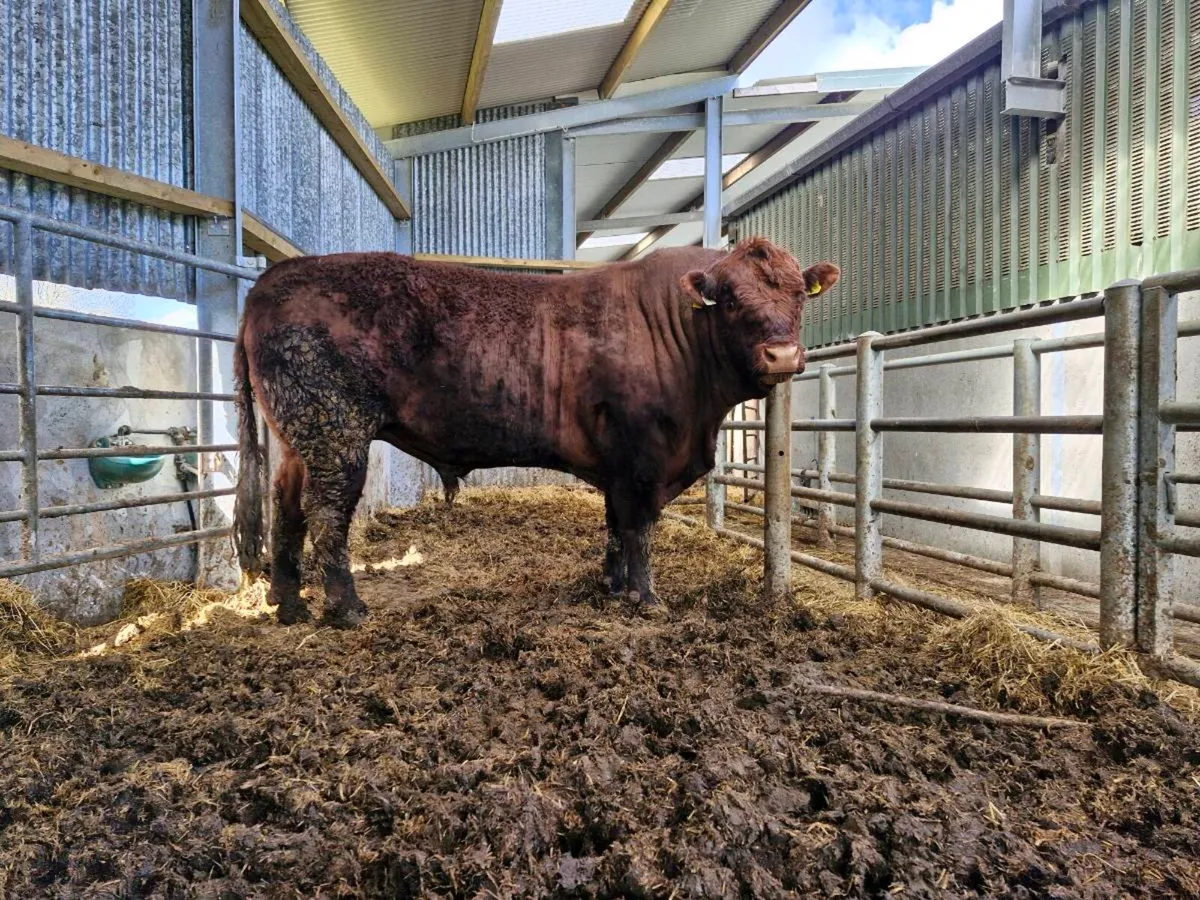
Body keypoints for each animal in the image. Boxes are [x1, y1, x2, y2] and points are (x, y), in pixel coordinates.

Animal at [232, 238, 839, 628]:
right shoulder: (643, 457)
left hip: (299, 437)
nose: (783, 355)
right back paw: (345, 608)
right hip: (336, 434)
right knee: (327, 515)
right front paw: (645, 598)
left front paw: (612, 585)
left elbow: (615, 526)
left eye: (798, 295)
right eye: (730, 297)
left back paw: (289, 602)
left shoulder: (619, 465)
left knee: (285, 506)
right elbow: (639, 529)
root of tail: (273, 279)